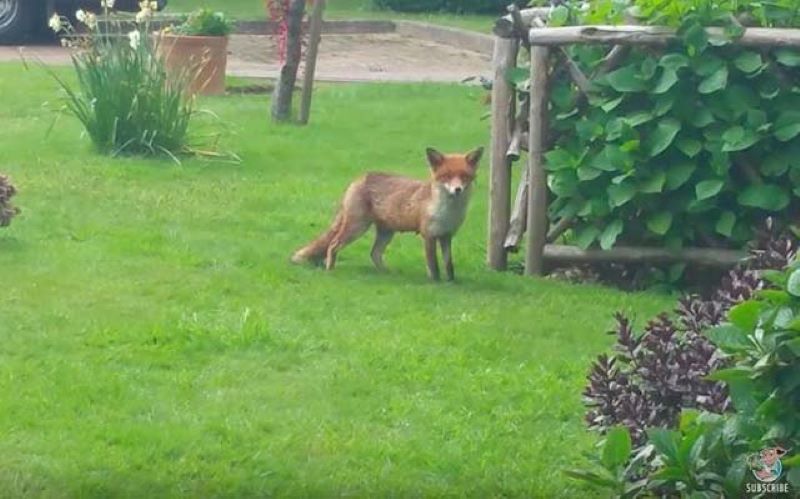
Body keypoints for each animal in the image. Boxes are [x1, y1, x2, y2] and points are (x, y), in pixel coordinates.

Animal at [292, 147, 484, 282]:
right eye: (447, 176)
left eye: (464, 176)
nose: (457, 190)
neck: (447, 211)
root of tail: (358, 178)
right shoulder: (428, 235)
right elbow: (433, 264)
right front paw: (436, 283)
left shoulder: (446, 236)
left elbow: (448, 264)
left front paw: (451, 282)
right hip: (357, 227)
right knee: (333, 245)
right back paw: (330, 269)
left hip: (386, 232)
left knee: (374, 253)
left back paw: (386, 273)